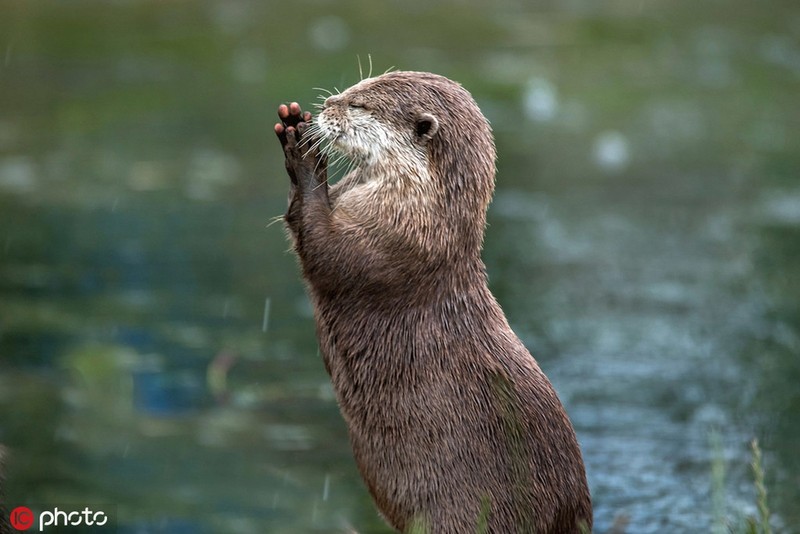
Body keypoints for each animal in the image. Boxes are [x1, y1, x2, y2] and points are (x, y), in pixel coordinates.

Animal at [272, 72, 592, 534]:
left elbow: (325, 251)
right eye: (358, 85)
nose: (330, 104)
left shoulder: (391, 242)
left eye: (360, 106)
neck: (423, 210)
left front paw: (302, 153)